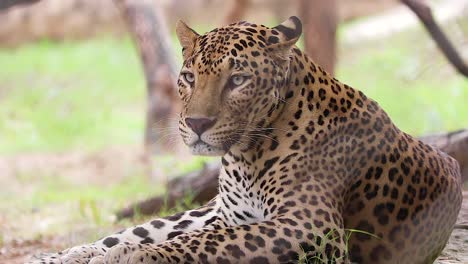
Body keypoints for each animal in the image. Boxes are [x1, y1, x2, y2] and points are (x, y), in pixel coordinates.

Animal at [27, 16, 462, 264]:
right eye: (189, 78)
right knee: (140, 228)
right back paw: (67, 255)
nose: (197, 123)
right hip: (201, 209)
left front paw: (137, 257)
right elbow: (196, 237)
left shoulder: (311, 226)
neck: (244, 157)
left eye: (238, 80)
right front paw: (115, 253)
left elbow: (209, 243)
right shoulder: (229, 216)